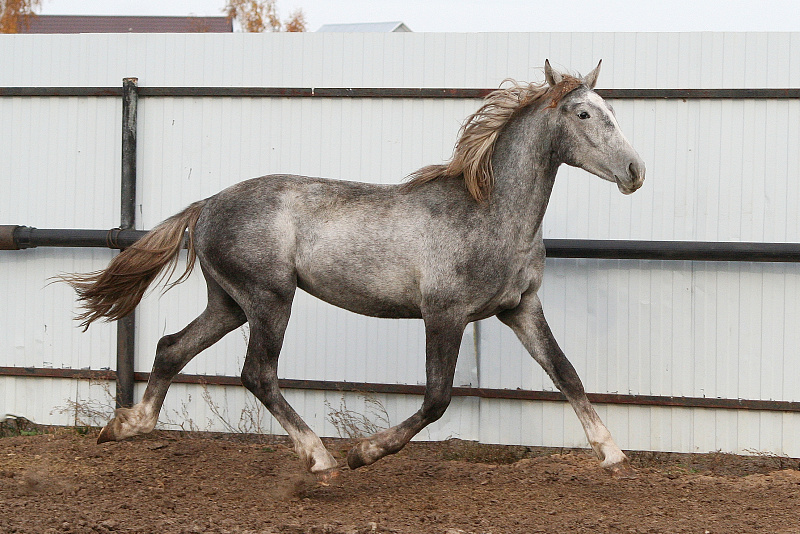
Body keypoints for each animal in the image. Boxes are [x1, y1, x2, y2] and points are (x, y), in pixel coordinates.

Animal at [63, 60, 645, 480]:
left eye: (609, 108)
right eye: (584, 114)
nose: (636, 171)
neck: (489, 213)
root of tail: (205, 206)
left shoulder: (521, 308)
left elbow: (566, 373)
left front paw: (613, 453)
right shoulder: (445, 314)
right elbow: (437, 399)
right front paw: (364, 453)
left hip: (229, 303)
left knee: (172, 348)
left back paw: (126, 426)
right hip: (270, 299)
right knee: (257, 373)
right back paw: (321, 458)